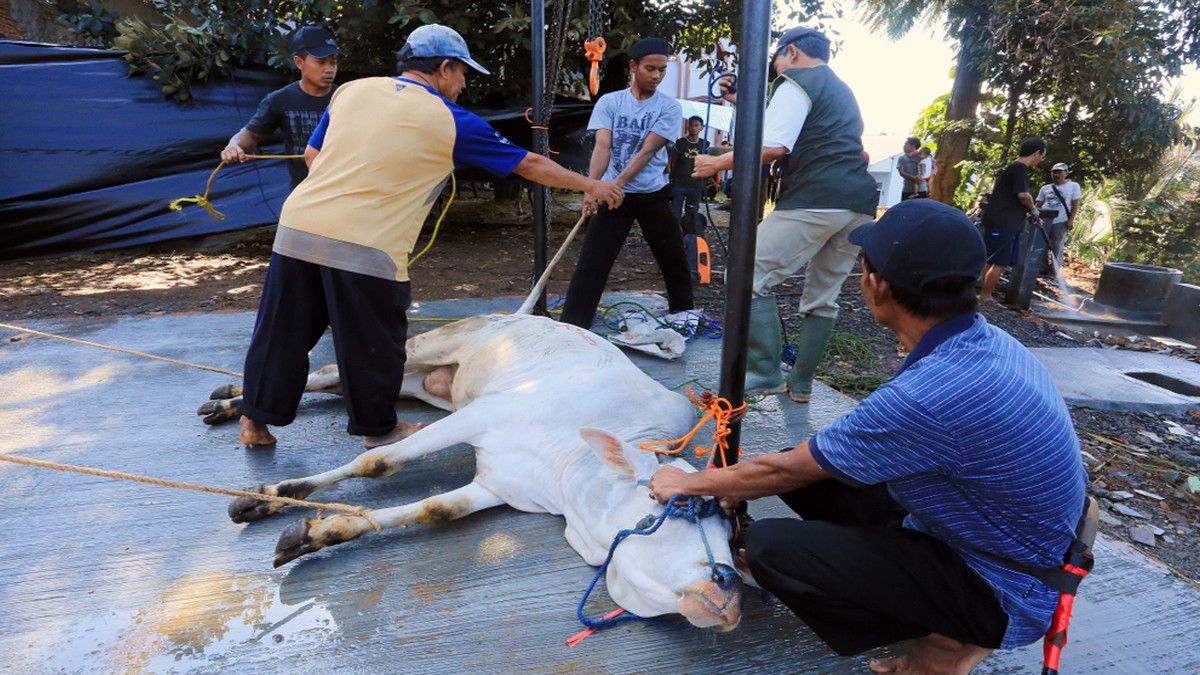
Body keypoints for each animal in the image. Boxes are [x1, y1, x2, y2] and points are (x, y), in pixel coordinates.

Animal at [211, 311, 744, 630]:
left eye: (731, 530)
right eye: (686, 505)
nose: (733, 594)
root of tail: (520, 312)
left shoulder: (497, 485)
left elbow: (433, 510)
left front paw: (318, 533)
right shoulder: (481, 416)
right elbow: (378, 461)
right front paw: (266, 497)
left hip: (427, 387)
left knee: (334, 383)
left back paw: (229, 400)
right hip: (429, 348)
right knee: (330, 374)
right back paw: (231, 400)